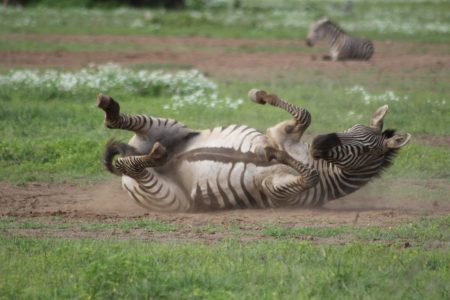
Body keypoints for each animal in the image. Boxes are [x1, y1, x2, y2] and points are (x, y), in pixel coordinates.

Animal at [99, 89, 412, 211]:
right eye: (351, 128)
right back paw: (109, 106)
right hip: (172, 127)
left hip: (168, 197)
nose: (318, 143)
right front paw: (261, 96)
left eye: (364, 150)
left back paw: (153, 155)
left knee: (129, 165)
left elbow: (308, 175)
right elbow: (305, 114)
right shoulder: (282, 131)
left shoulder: (278, 193)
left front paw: (276, 155)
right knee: (115, 124)